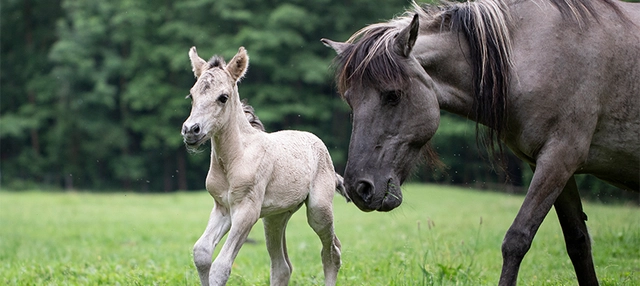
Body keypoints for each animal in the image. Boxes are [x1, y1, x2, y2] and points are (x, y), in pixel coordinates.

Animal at [181, 45, 344, 284]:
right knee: (282, 266)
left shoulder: (247, 210)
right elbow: (201, 253)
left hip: (318, 210)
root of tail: (317, 142)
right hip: (275, 217)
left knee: (332, 253)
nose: (191, 131)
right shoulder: (222, 208)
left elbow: (221, 266)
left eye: (223, 97)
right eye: (191, 95)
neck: (236, 158)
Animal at [324, 0, 640, 284]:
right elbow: (578, 243)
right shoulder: (555, 166)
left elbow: (517, 239)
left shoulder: (559, 159)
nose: (360, 188)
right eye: (350, 100)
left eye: (392, 95)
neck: (537, 55)